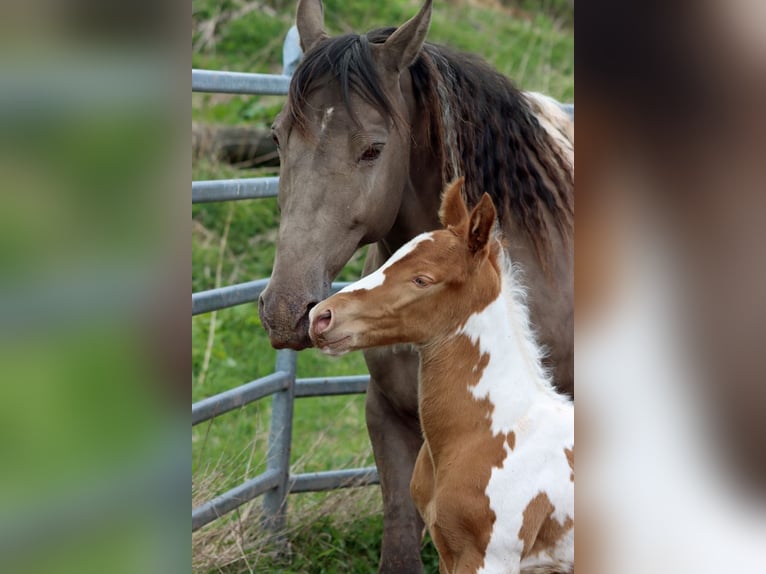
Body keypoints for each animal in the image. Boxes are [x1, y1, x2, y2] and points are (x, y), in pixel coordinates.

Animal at [308, 178, 572, 572]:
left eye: (422, 280)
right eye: (388, 259)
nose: (321, 317)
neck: (490, 433)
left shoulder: (489, 558)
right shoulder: (447, 550)